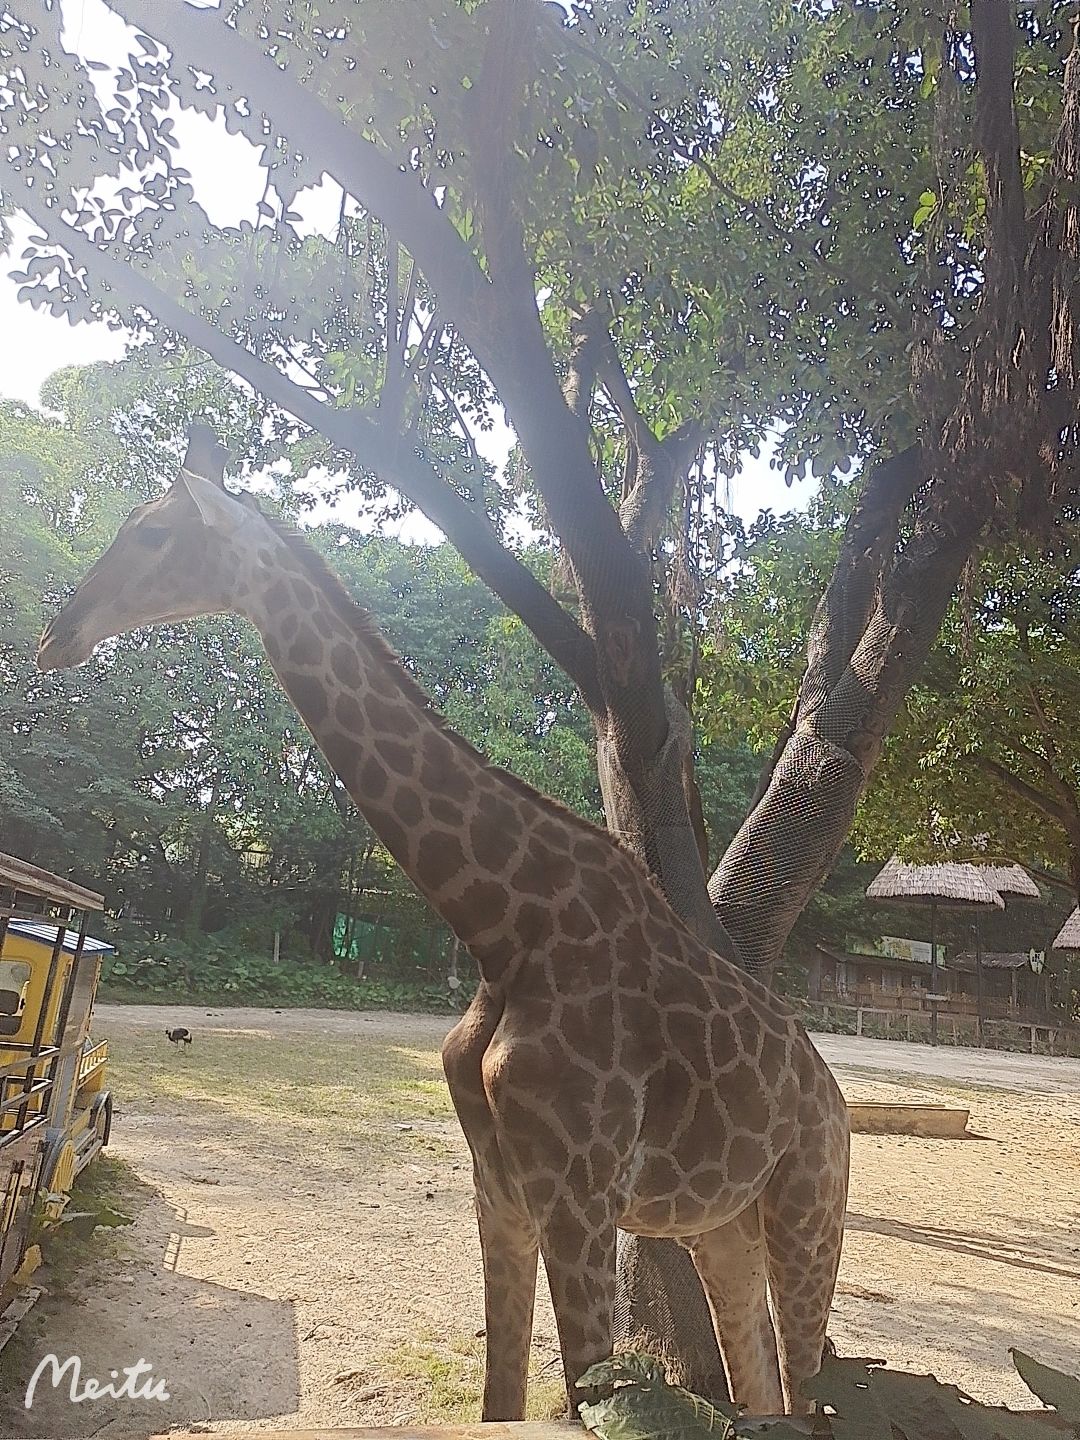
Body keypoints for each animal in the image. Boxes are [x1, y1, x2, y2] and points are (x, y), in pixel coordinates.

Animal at [40, 432, 852, 1422]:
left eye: (154, 534)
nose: (53, 636)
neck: (503, 928)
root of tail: (835, 1101)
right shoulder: (497, 1189)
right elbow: (501, 1393)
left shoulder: (581, 1200)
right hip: (723, 1226)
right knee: (760, 1377)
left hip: (809, 1210)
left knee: (805, 1384)